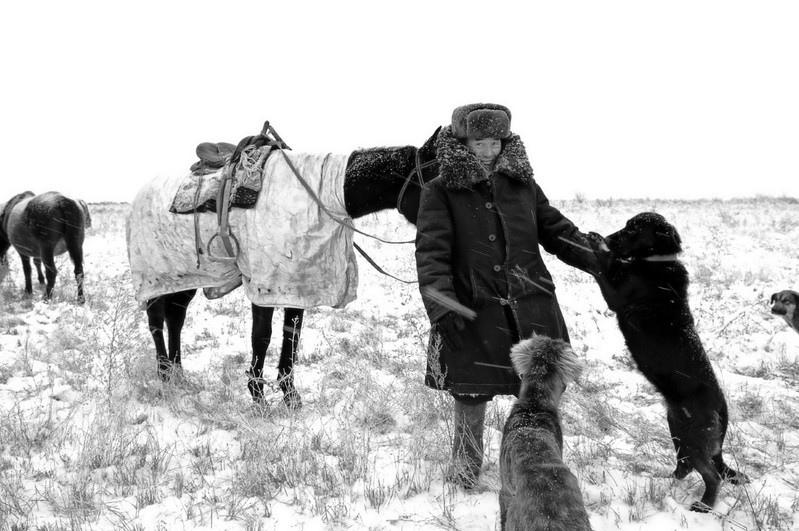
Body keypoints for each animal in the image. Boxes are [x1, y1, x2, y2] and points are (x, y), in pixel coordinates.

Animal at [588, 214, 752, 512]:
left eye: (634, 228)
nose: (608, 237)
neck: (656, 262)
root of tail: (722, 410)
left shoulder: (617, 297)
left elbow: (601, 266)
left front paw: (597, 246)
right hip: (676, 428)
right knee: (684, 467)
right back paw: (667, 482)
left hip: (693, 440)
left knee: (712, 475)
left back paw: (705, 505)